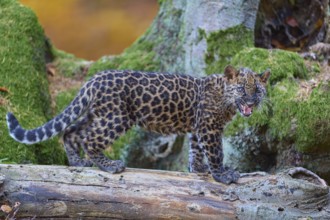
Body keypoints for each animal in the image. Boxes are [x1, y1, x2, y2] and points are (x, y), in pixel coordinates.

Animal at [6, 65, 270, 184]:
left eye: (257, 90)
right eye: (241, 89)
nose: (250, 101)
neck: (227, 99)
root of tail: (94, 79)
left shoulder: (199, 128)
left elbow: (196, 151)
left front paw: (198, 170)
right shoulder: (209, 128)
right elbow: (216, 152)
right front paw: (223, 174)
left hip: (100, 114)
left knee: (71, 132)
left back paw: (77, 162)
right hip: (116, 118)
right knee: (90, 140)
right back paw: (109, 165)